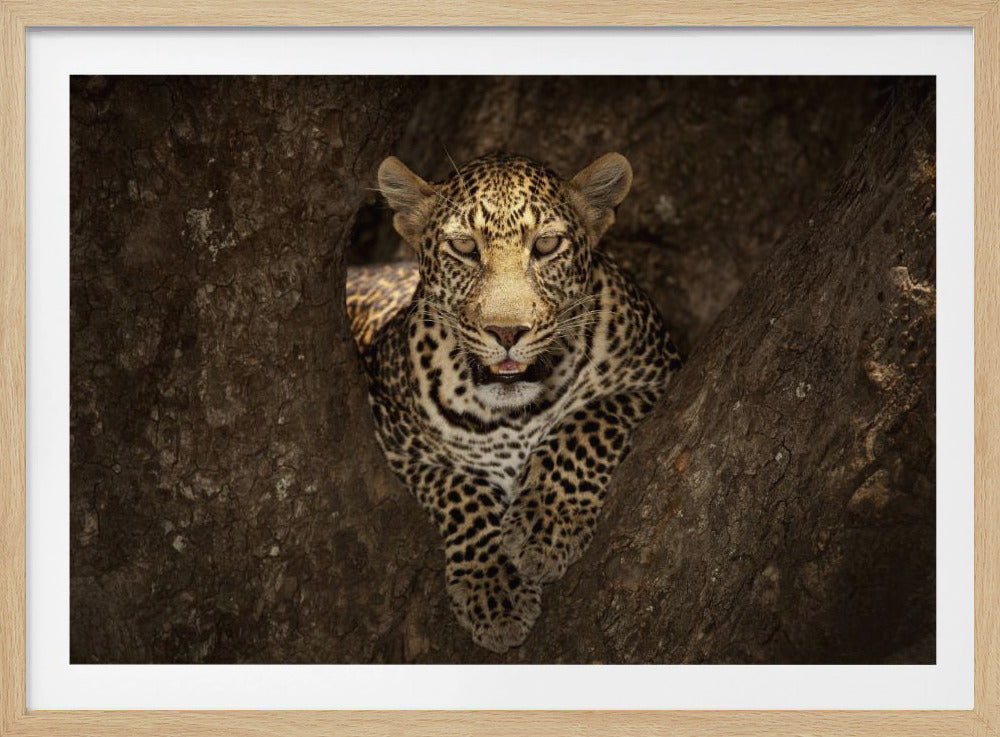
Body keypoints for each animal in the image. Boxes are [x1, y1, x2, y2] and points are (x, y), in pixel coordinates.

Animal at [346, 152, 682, 653]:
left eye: (546, 244)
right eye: (464, 247)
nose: (506, 332)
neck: (512, 416)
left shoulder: (659, 374)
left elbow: (586, 422)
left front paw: (545, 524)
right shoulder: (396, 439)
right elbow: (459, 490)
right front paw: (494, 589)